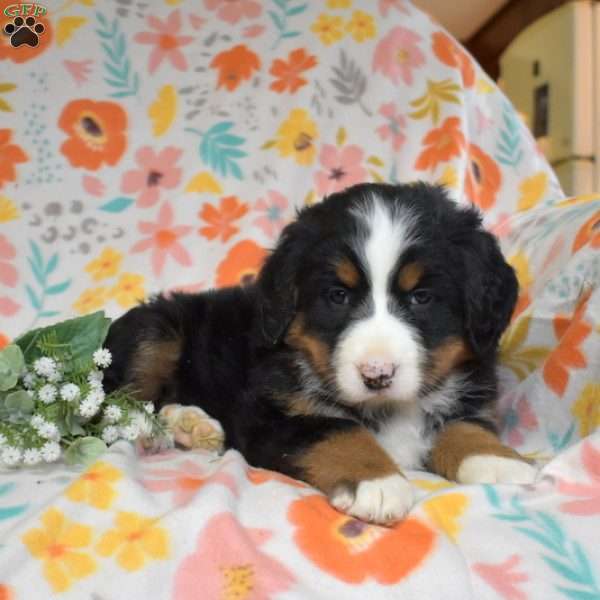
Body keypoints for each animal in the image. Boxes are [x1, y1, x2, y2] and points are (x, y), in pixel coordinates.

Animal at [103, 183, 536, 524]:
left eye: (422, 297)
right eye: (337, 296)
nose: (377, 373)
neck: (390, 408)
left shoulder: (470, 395)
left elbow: (465, 426)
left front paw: (500, 461)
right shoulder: (271, 415)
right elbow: (337, 430)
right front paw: (377, 481)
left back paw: (192, 425)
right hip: (155, 331)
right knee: (116, 406)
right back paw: (156, 431)